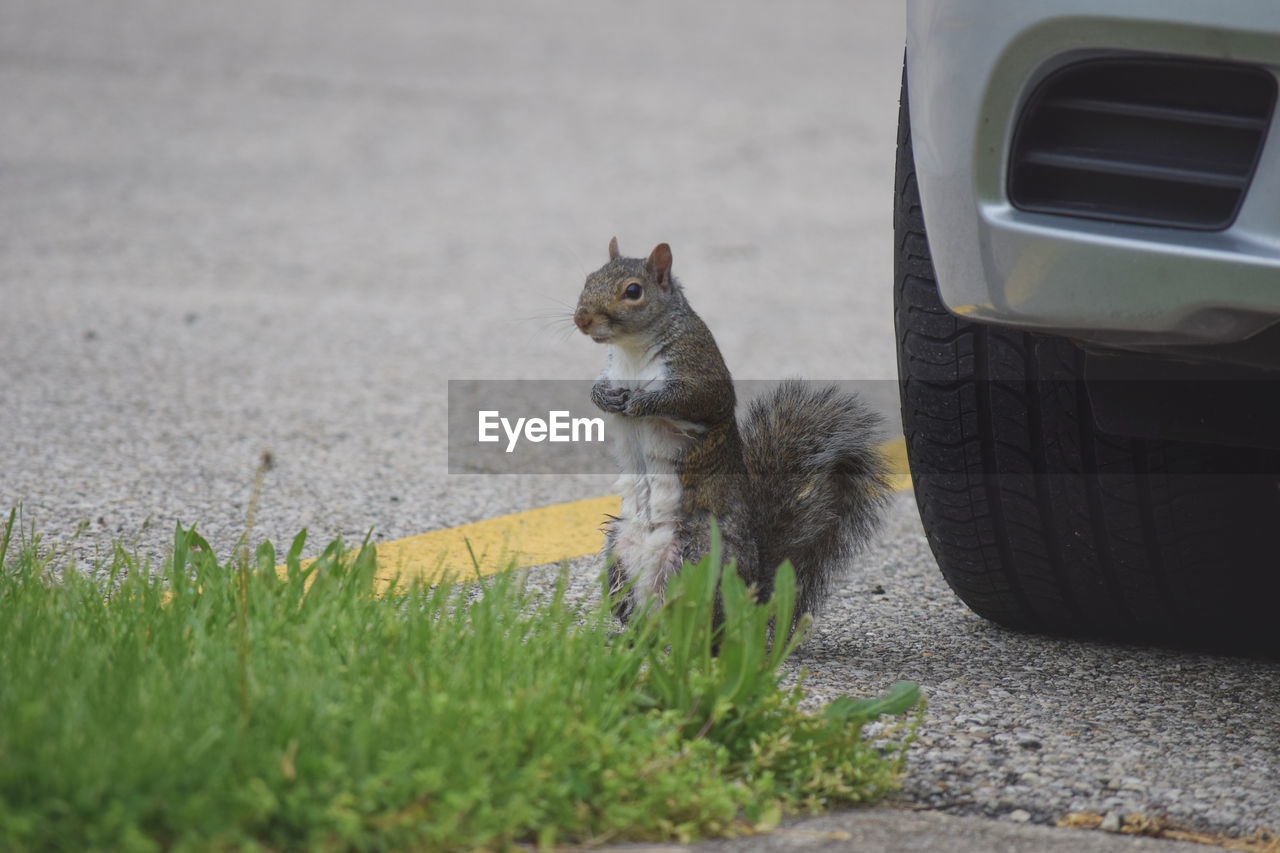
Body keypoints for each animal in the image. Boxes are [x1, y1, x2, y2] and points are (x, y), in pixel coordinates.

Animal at [573, 235, 890, 622]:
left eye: (633, 291)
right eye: (589, 278)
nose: (581, 319)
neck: (631, 351)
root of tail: (751, 593)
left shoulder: (702, 374)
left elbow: (692, 399)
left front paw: (640, 404)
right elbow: (600, 388)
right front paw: (603, 396)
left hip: (700, 556)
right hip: (618, 549)